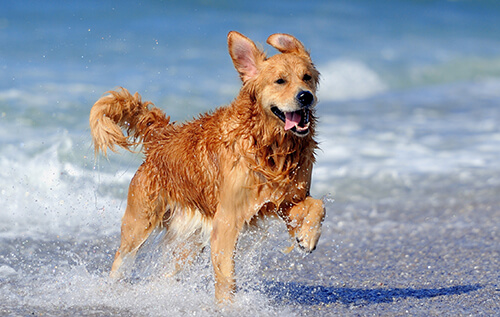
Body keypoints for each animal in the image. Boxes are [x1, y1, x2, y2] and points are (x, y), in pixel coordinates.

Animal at [89, 31, 324, 302]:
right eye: (280, 81)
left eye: (307, 77)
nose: (305, 96)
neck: (269, 145)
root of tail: (162, 137)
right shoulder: (228, 218)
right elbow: (226, 276)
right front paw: (228, 306)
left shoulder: (285, 200)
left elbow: (317, 205)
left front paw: (307, 237)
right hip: (140, 222)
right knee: (122, 258)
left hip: (190, 241)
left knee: (167, 273)